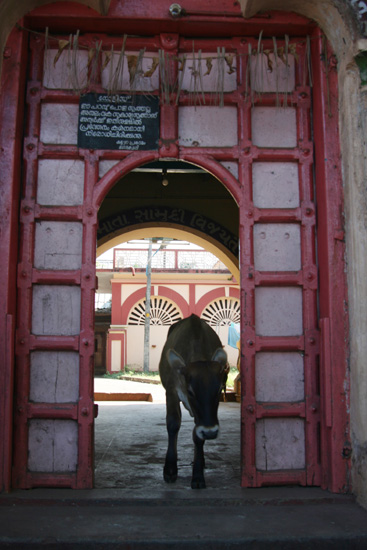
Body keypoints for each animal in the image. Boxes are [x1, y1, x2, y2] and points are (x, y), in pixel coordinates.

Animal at [159, 314, 229, 492]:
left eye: (219, 390)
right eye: (190, 391)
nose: (210, 432)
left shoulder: (203, 415)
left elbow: (197, 436)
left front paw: (197, 476)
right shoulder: (171, 391)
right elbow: (173, 424)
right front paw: (170, 469)